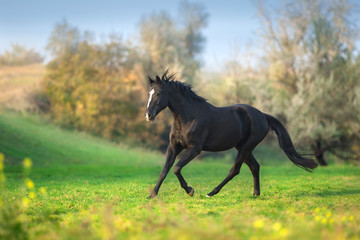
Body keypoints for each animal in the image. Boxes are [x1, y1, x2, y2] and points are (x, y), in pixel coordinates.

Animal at [145, 71, 316, 199]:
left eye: (159, 93)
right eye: (149, 93)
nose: (148, 115)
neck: (188, 118)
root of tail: (262, 115)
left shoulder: (195, 149)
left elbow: (176, 168)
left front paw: (190, 190)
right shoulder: (174, 147)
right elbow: (165, 170)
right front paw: (152, 195)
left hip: (246, 147)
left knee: (235, 170)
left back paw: (211, 192)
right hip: (243, 147)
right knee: (255, 166)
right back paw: (255, 194)